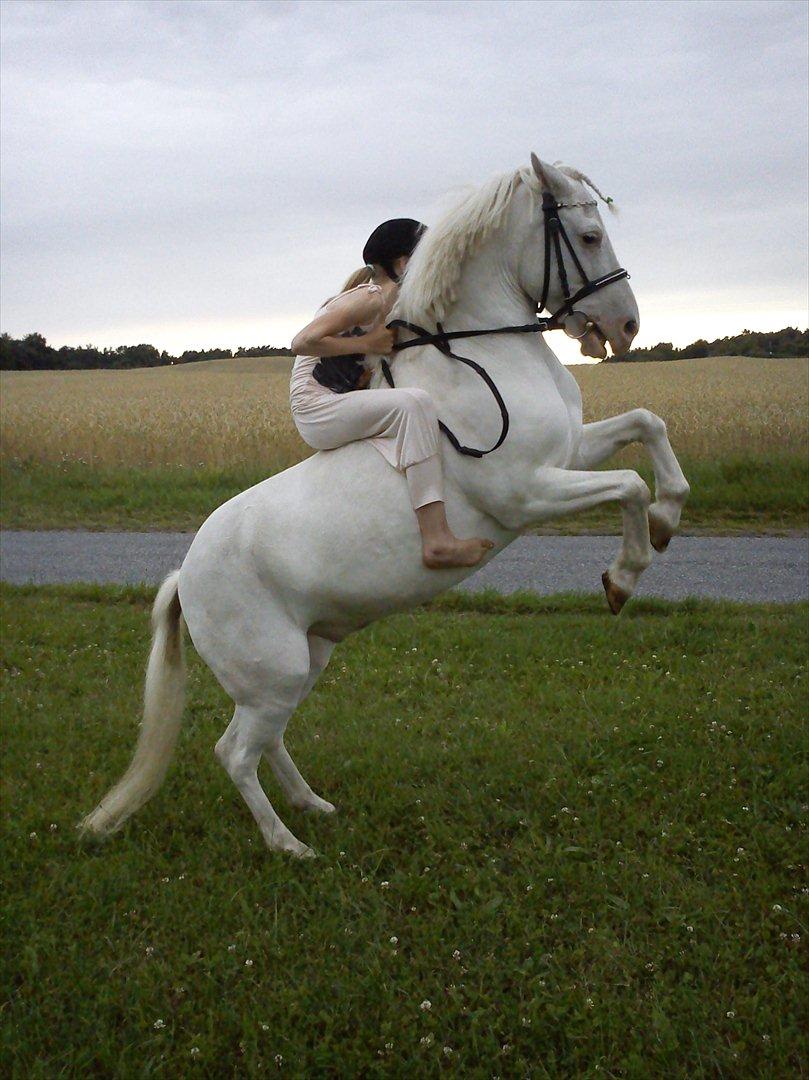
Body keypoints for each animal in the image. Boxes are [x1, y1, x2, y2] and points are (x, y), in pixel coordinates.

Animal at [81, 154, 689, 857]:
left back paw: (314, 806)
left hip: (304, 660)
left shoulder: (569, 452)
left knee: (268, 741)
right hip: (276, 671)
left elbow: (648, 425)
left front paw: (669, 519)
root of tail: (184, 578)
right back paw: (290, 845)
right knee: (235, 752)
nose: (626, 326)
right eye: (589, 236)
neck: (483, 355)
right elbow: (630, 484)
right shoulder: (527, 491)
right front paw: (623, 578)